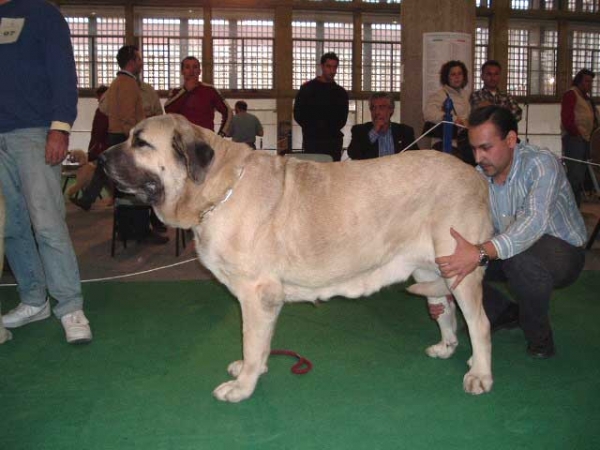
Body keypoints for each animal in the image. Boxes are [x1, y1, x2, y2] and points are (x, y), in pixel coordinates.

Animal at [103, 114, 494, 402]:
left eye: (141, 142)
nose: (102, 157)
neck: (218, 190)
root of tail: (475, 174)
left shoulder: (255, 294)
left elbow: (251, 340)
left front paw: (242, 387)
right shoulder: (267, 299)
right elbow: (260, 344)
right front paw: (254, 370)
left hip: (460, 266)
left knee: (480, 323)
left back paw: (480, 374)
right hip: (432, 269)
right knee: (446, 311)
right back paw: (448, 348)